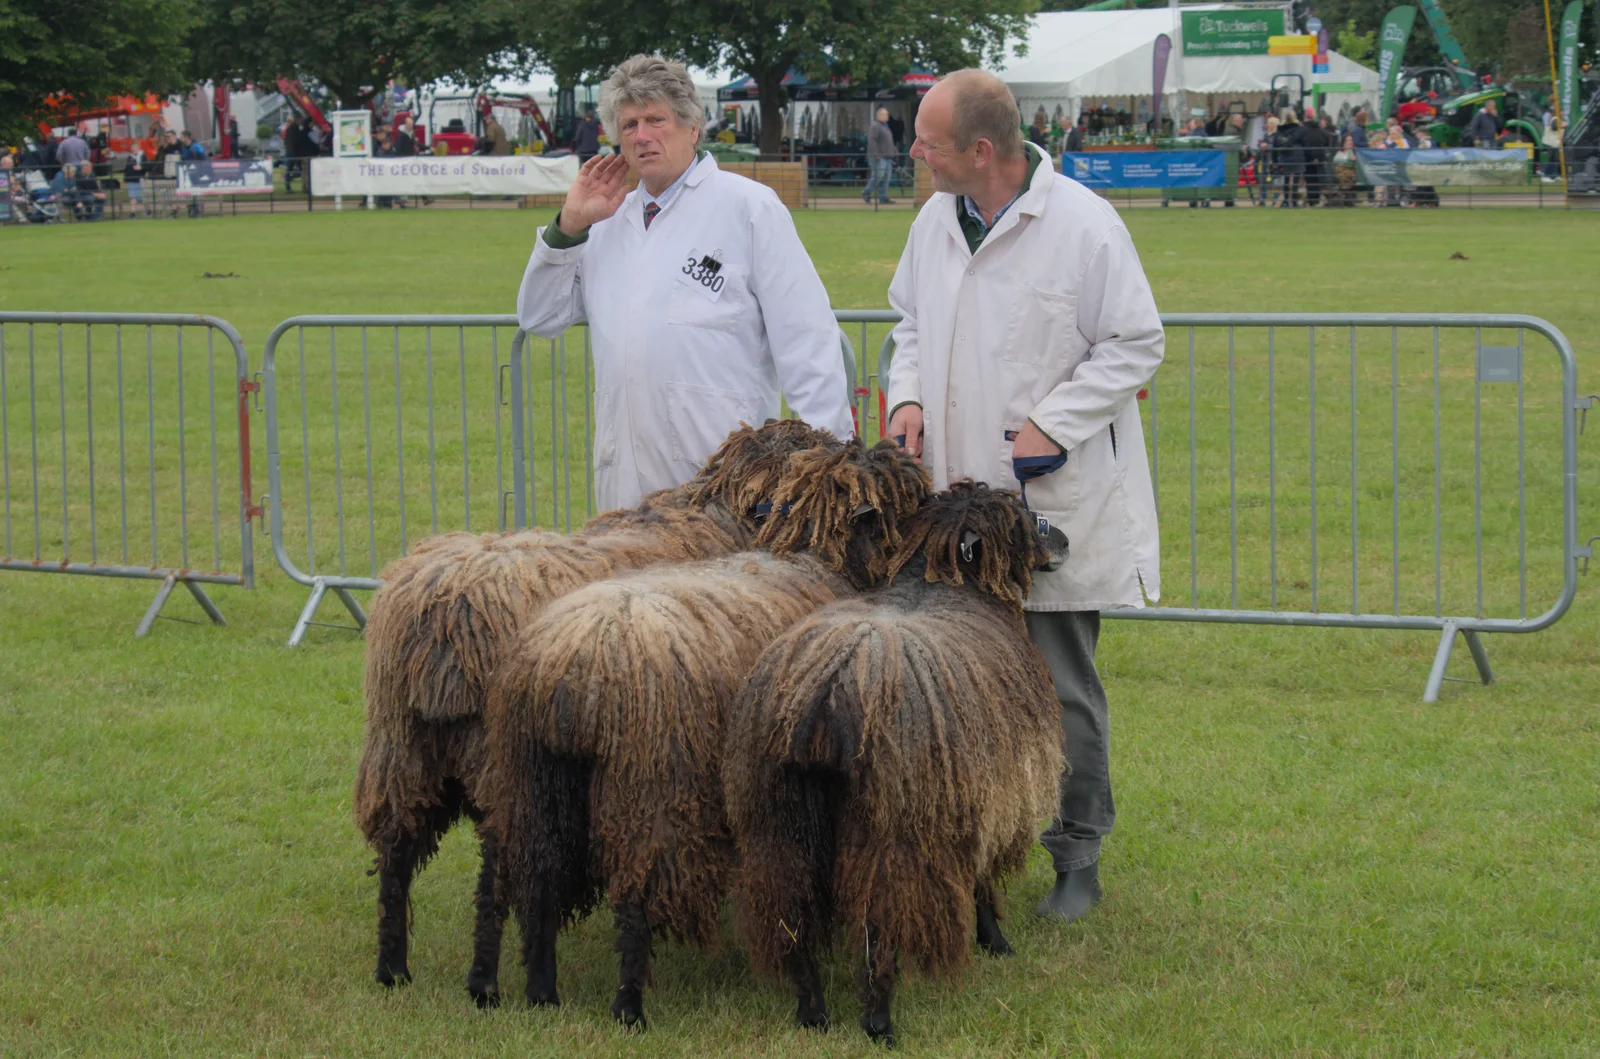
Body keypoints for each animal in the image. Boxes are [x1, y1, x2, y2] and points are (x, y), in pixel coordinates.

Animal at [350, 415, 838, 1004]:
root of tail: (450, 619)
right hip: (498, 760)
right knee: (496, 868)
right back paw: (485, 983)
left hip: (401, 746)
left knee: (396, 854)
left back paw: (393, 968)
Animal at [480, 438, 934, 1030]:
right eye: (908, 507)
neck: (809, 555)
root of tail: (572, 665)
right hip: (650, 789)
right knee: (633, 896)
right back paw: (628, 1007)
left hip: (532, 783)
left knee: (537, 882)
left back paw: (540, 991)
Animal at [723, 486, 1062, 1049]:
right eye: (1022, 518)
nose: (1064, 541)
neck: (937, 583)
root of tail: (822, 699)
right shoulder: (985, 794)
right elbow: (981, 880)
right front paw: (995, 940)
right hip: (891, 831)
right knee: (881, 918)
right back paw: (879, 1020)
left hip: (779, 824)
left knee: (793, 917)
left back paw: (812, 1011)